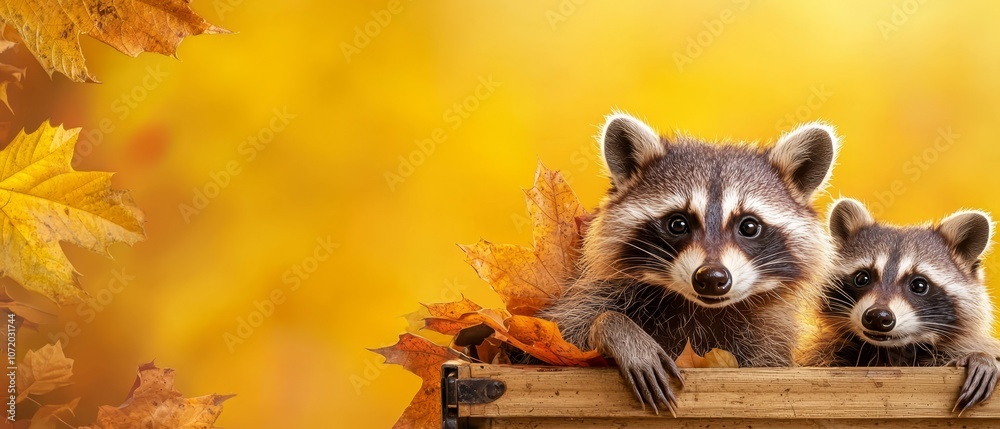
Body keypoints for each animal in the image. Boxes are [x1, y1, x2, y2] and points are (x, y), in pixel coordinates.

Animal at [539, 113, 839, 414]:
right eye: (678, 223)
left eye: (749, 226)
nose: (712, 278)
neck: (698, 310)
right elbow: (565, 335)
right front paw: (615, 328)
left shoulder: (767, 339)